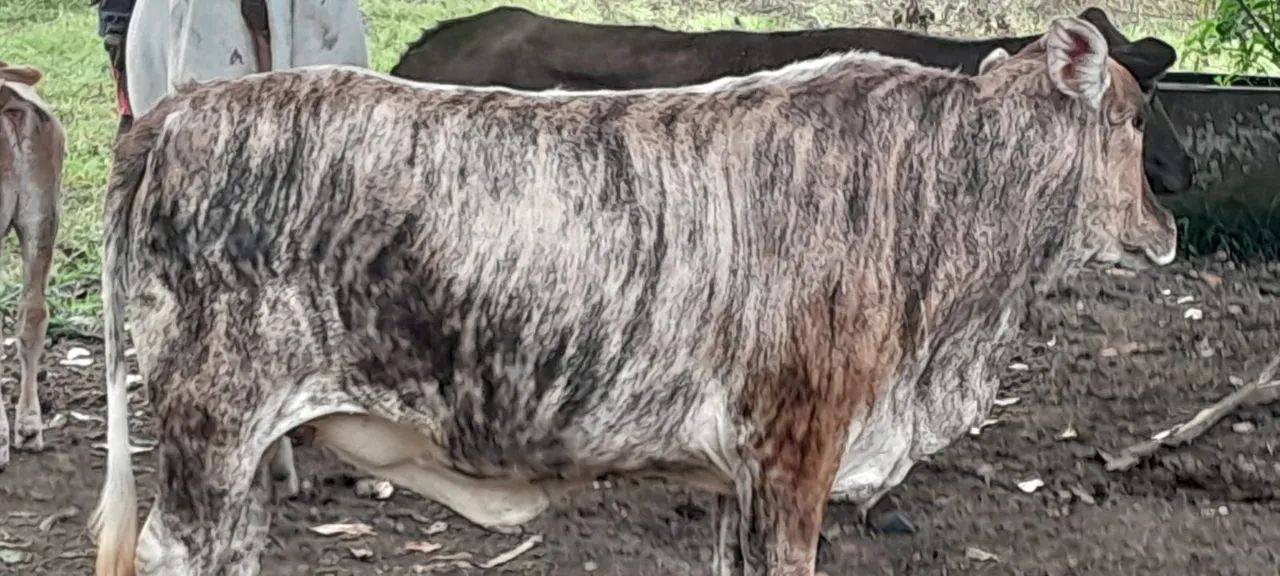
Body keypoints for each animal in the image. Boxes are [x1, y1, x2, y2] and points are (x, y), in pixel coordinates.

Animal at [90, 16, 1176, 576]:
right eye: (1130, 117)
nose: (1167, 224)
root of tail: (178, 114)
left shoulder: (746, 474)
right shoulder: (795, 446)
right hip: (212, 425)